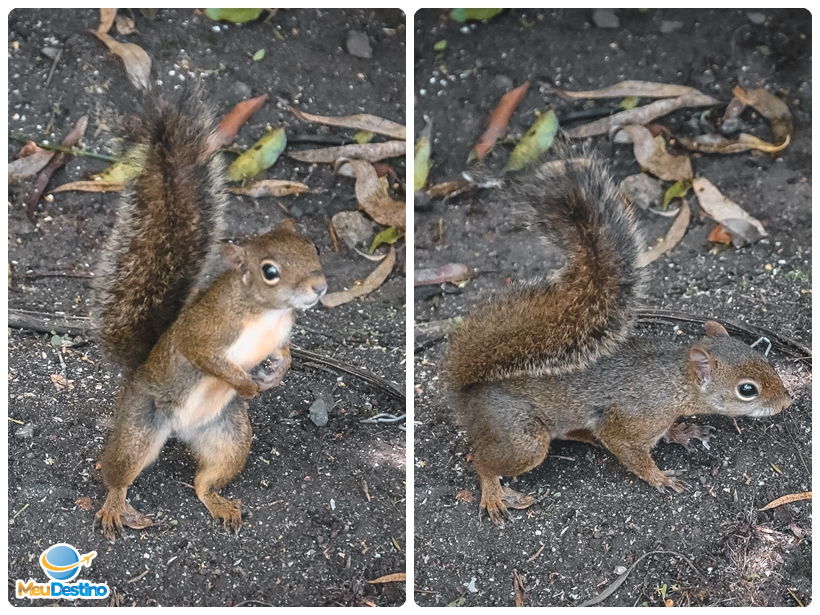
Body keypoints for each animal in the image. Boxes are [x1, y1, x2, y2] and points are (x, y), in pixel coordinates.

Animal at [90, 90, 326, 540]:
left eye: (314, 248)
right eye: (270, 271)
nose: (319, 287)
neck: (266, 313)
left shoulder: (281, 334)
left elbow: (285, 353)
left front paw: (277, 372)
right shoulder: (206, 331)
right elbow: (203, 354)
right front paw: (246, 384)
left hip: (229, 436)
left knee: (205, 480)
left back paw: (218, 503)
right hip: (140, 426)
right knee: (118, 472)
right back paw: (114, 505)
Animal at [446, 149, 792, 524]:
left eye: (764, 361)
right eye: (747, 390)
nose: (787, 400)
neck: (673, 381)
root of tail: (467, 395)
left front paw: (681, 431)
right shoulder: (631, 419)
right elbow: (628, 449)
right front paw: (659, 477)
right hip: (522, 438)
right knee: (483, 460)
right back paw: (493, 492)